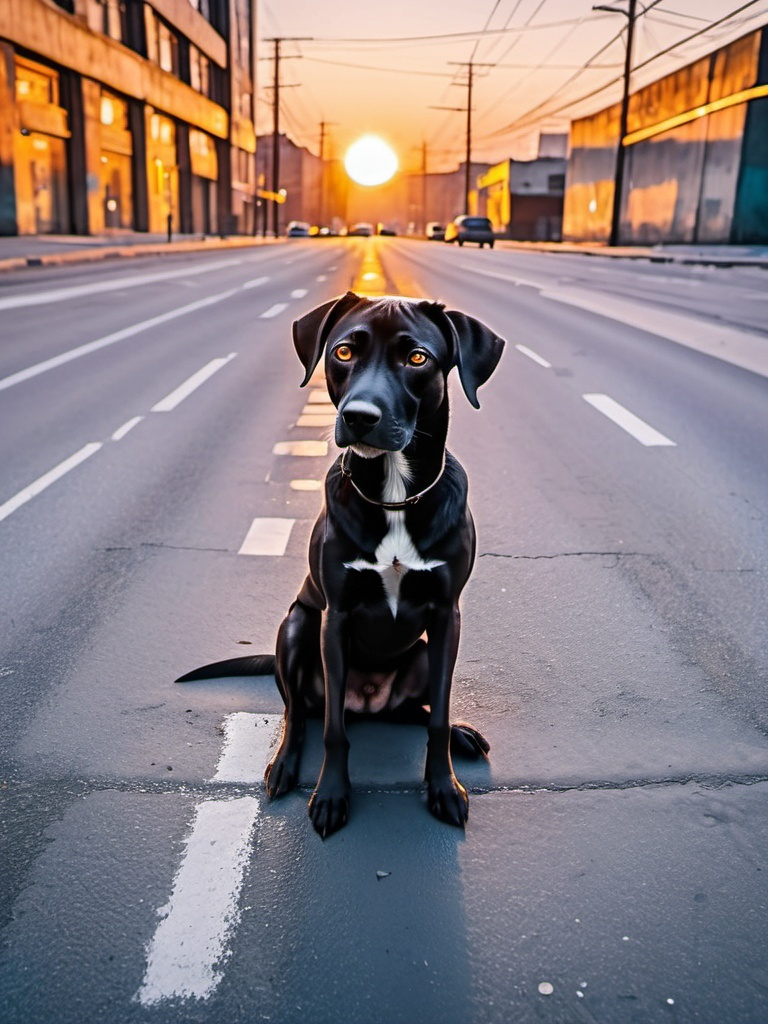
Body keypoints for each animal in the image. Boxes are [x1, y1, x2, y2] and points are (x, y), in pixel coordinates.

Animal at [180, 292, 505, 835]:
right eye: (345, 352)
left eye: (417, 358)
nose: (359, 416)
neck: (394, 495)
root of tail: (367, 702)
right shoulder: (335, 617)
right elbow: (332, 728)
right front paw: (331, 795)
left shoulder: (446, 617)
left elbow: (437, 716)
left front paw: (444, 787)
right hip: (296, 626)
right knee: (299, 713)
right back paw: (285, 764)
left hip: (419, 653)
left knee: (412, 711)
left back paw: (461, 734)